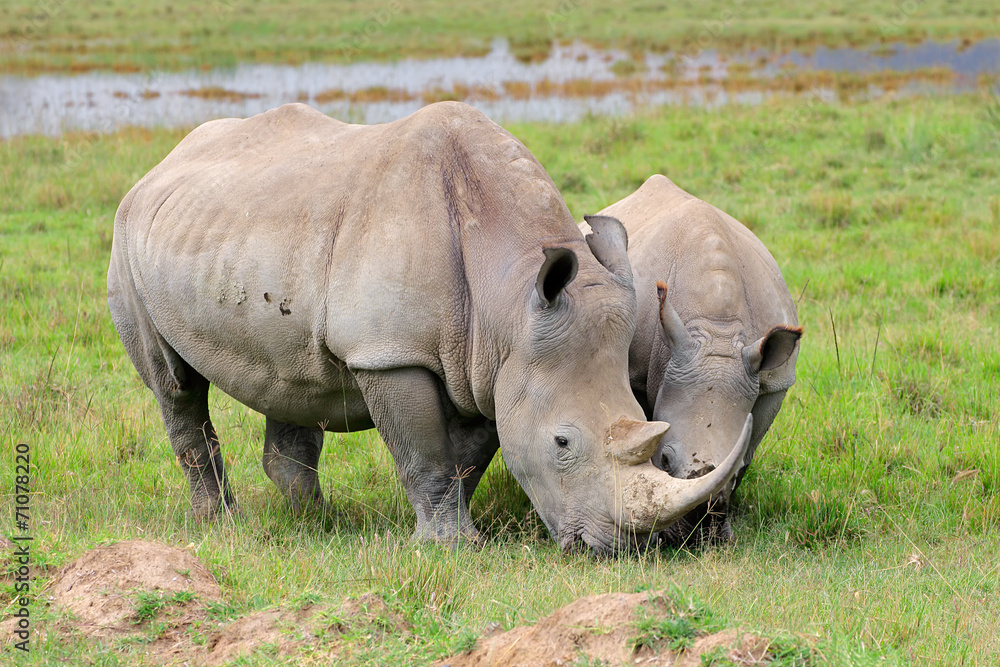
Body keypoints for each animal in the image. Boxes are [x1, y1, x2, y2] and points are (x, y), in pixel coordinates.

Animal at [107, 103, 748, 554]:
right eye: (563, 443)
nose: (619, 549)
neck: (509, 293)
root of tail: (162, 163)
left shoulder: (491, 363)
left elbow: (467, 454)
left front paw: (456, 528)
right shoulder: (392, 353)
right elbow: (424, 450)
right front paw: (452, 547)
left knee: (289, 378)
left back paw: (314, 523)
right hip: (125, 235)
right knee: (175, 385)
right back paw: (220, 523)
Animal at [586, 175, 802, 545]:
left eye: (738, 467)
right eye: (665, 458)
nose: (701, 529)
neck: (716, 329)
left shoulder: (774, 381)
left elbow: (750, 443)